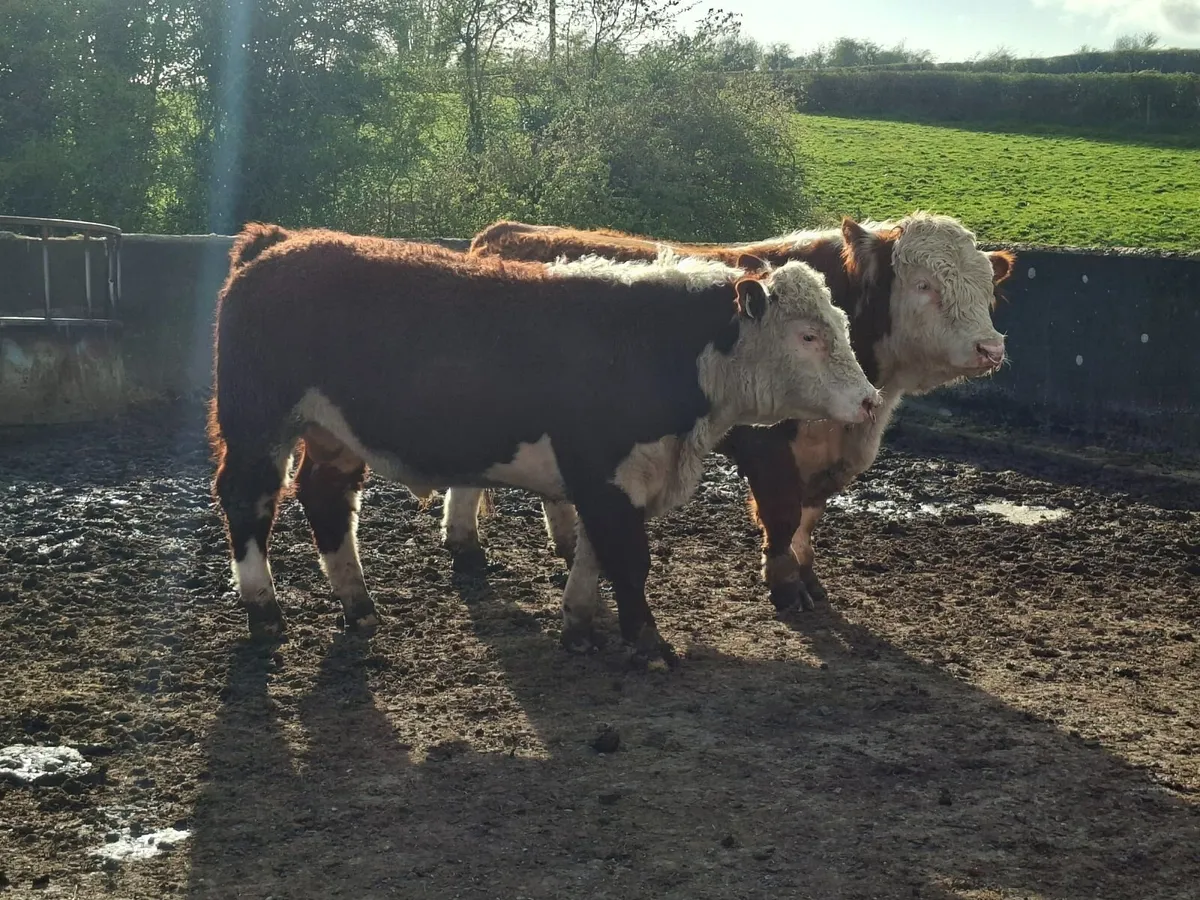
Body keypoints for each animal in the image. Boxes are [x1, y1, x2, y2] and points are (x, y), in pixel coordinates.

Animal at [208, 223, 880, 665]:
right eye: (809, 335)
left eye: (842, 325)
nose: (870, 398)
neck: (651, 343)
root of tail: (278, 241)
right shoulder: (605, 473)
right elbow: (627, 558)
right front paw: (649, 643)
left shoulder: (616, 480)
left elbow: (595, 554)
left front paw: (579, 625)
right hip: (257, 423)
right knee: (248, 501)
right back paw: (264, 610)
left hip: (331, 433)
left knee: (325, 500)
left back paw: (358, 604)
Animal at [443, 213, 1015, 613]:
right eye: (924, 285)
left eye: (986, 286)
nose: (990, 347)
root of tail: (500, 233)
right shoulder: (766, 443)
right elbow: (782, 513)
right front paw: (785, 586)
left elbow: (810, 514)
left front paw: (808, 576)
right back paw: (467, 547)